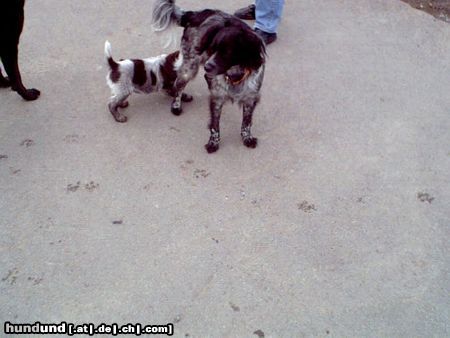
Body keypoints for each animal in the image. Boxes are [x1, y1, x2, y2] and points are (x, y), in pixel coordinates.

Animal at [154, 0, 268, 152]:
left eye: (227, 52)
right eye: (213, 47)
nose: (208, 66)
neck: (235, 75)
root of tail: (194, 14)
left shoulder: (251, 96)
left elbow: (247, 122)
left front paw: (247, 137)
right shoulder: (217, 98)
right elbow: (214, 125)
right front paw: (213, 143)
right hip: (190, 67)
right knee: (178, 84)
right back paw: (176, 105)